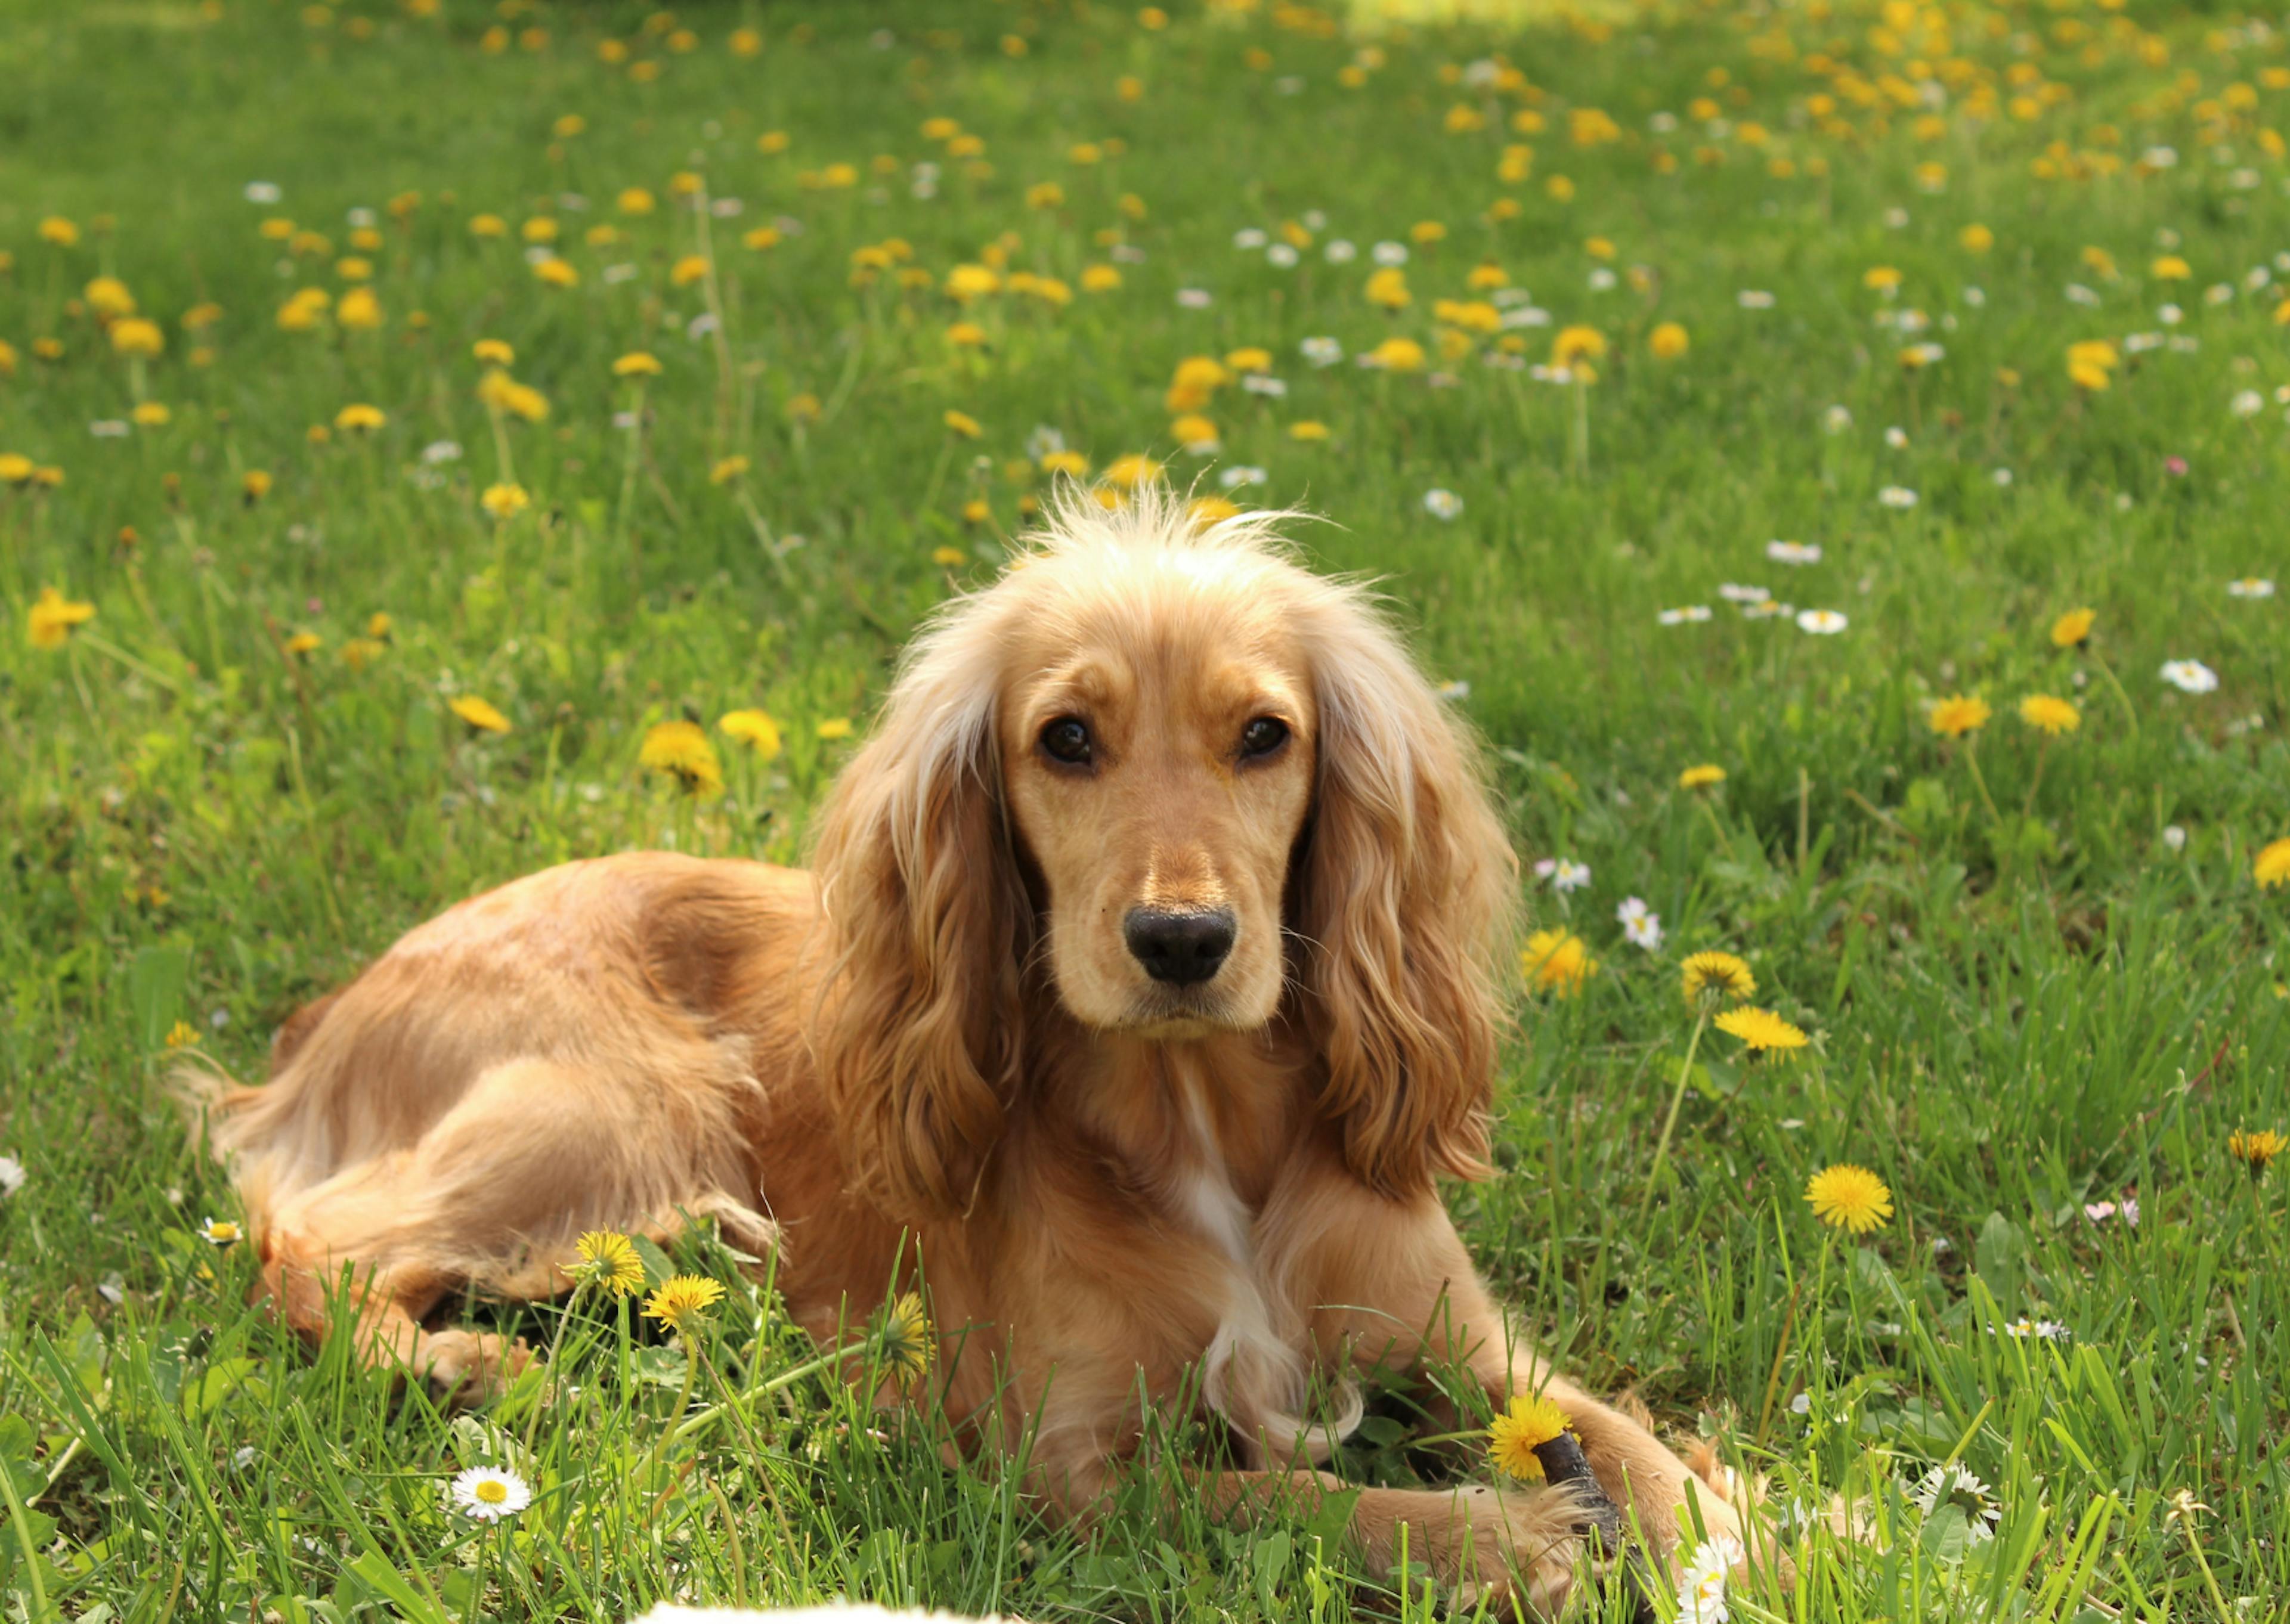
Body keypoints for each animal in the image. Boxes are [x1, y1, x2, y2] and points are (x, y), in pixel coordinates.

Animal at [201, 488, 1749, 1603]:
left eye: (1266, 735)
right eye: (1064, 739)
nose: (1181, 941)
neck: (1200, 1124)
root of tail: (333, 1011)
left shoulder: (1465, 1342)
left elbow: (1622, 1438)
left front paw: (1739, 1532)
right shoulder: (1061, 1466)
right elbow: (1297, 1496)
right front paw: (1508, 1540)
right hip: (622, 1104)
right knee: (318, 1248)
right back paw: (462, 1362)